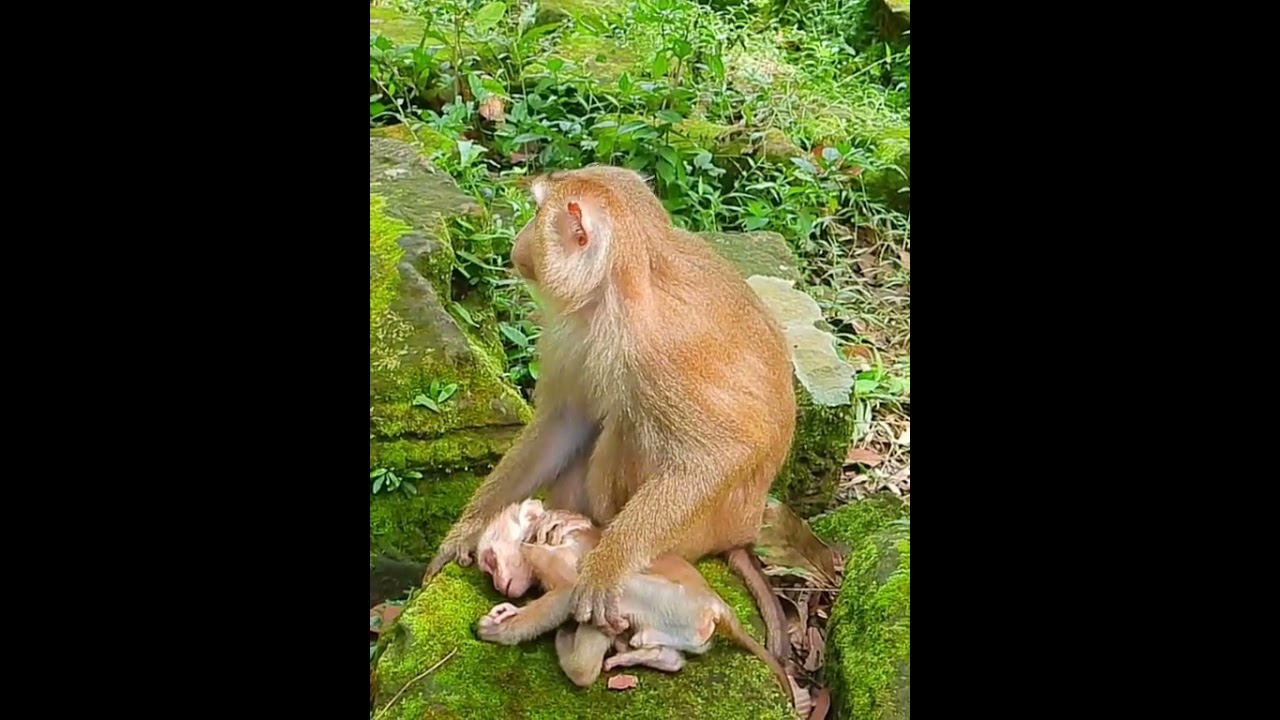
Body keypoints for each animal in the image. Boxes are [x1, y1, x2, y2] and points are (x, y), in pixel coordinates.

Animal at [424, 165, 797, 663]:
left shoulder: (654, 354)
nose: (517, 245)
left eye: (537, 214)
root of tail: (743, 532)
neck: (620, 287)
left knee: (631, 422)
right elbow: (565, 422)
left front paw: (605, 566)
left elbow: (721, 453)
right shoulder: (575, 331)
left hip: (696, 532)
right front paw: (466, 531)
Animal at [473, 503, 797, 707]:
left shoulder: (551, 549)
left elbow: (569, 589)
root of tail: (716, 605)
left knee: (603, 591)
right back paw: (654, 655)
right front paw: (507, 613)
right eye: (488, 569)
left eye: (489, 560)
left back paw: (579, 656)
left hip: (674, 602)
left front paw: (505, 630)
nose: (497, 582)